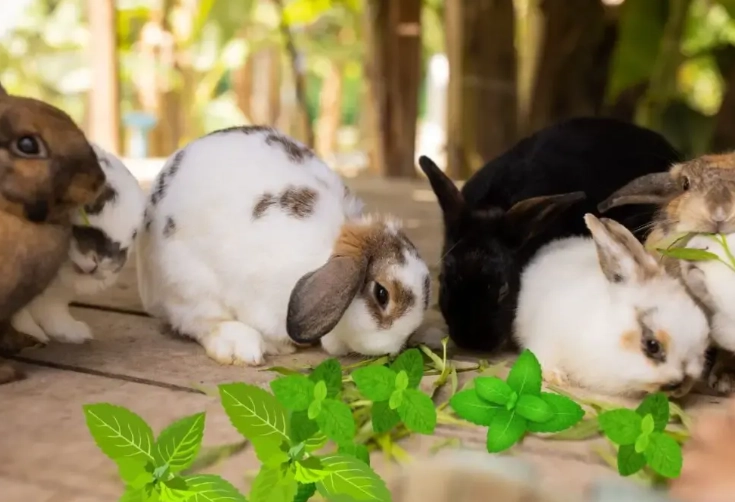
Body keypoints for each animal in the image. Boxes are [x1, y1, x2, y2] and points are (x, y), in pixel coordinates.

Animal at [10, 143, 146, 344]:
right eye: (89, 208)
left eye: (134, 235)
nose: (100, 263)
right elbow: (20, 316)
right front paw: (33, 333)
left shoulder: (54, 298)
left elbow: (54, 314)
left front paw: (76, 333)